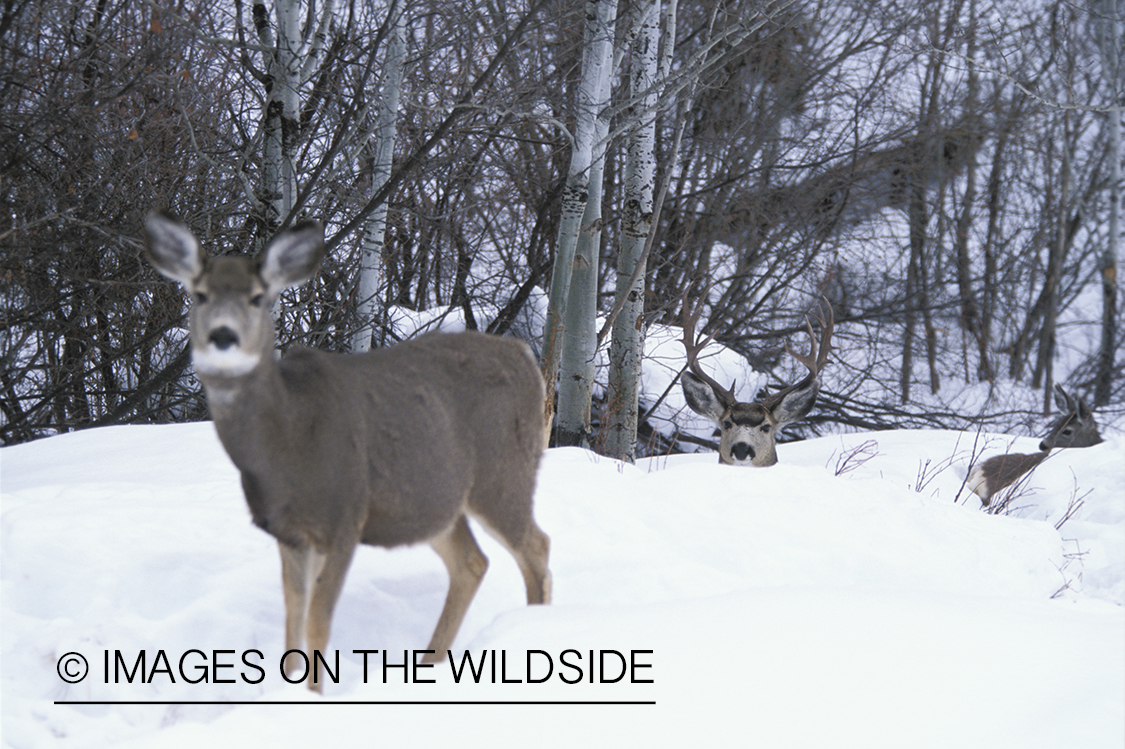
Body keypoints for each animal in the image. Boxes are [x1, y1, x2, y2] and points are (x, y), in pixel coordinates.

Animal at [140, 210, 553, 688]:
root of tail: (526, 356)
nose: (223, 336)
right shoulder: (290, 531)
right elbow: (293, 616)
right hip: (435, 502)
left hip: (503, 473)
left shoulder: (344, 516)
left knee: (537, 546)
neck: (288, 442)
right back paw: (428, 666)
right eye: (199, 294)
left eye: (258, 297)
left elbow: (318, 622)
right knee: (473, 562)